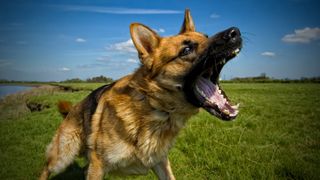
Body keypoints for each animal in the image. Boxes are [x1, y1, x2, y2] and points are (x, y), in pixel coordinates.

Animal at [39, 8, 240, 180]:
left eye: (206, 36)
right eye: (186, 50)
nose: (234, 32)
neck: (153, 107)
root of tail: (73, 109)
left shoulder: (160, 162)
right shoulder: (97, 165)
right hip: (63, 156)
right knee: (46, 168)